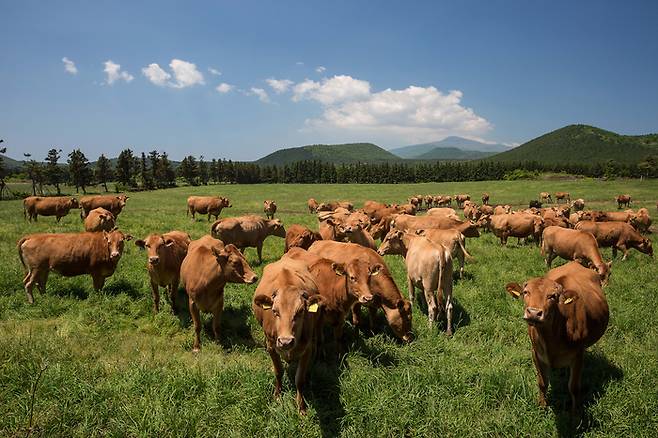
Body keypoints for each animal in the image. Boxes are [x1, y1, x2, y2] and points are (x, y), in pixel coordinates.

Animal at [504, 262, 608, 416]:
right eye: (526, 292)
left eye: (552, 296)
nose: (533, 313)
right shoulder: (536, 352)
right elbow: (542, 382)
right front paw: (542, 406)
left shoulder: (578, 355)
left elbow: (574, 387)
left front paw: (575, 413)